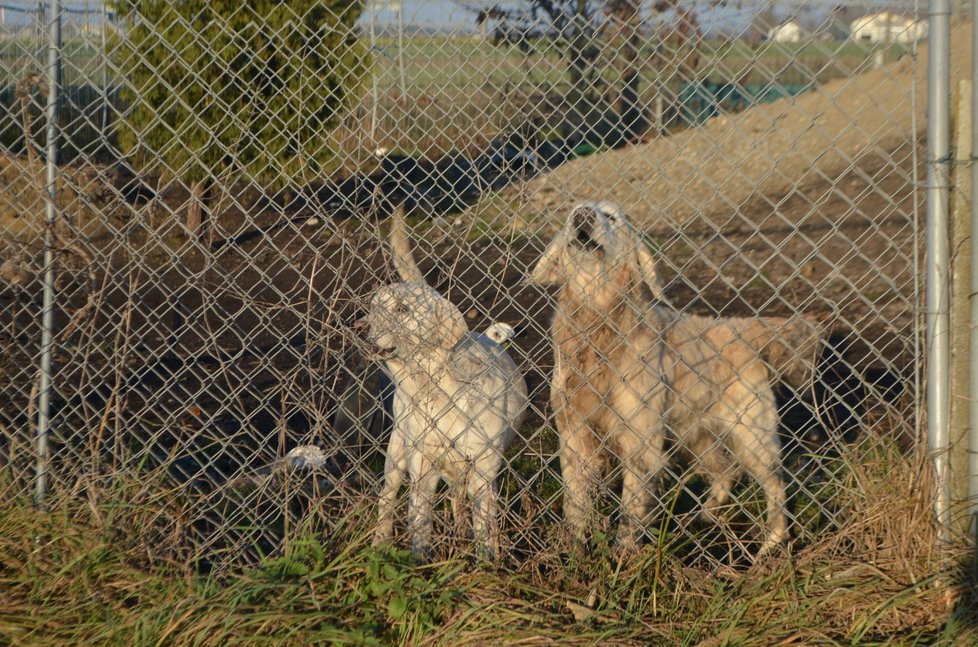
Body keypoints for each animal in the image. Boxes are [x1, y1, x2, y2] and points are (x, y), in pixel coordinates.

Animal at [358, 209, 528, 560]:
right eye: (373, 307)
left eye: (402, 309)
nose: (358, 325)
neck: (437, 389)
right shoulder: (421, 468)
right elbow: (419, 523)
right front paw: (418, 562)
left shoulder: (482, 470)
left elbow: (485, 526)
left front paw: (487, 562)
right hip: (397, 455)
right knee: (387, 500)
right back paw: (380, 544)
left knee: (458, 501)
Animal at [528, 201, 820, 556]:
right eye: (572, 213)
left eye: (611, 216)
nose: (582, 214)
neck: (598, 322)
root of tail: (743, 329)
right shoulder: (574, 433)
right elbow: (576, 503)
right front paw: (572, 548)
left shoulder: (641, 442)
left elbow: (630, 510)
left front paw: (623, 555)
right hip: (694, 437)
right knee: (727, 472)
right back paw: (705, 515)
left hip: (753, 438)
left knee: (775, 484)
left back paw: (772, 542)